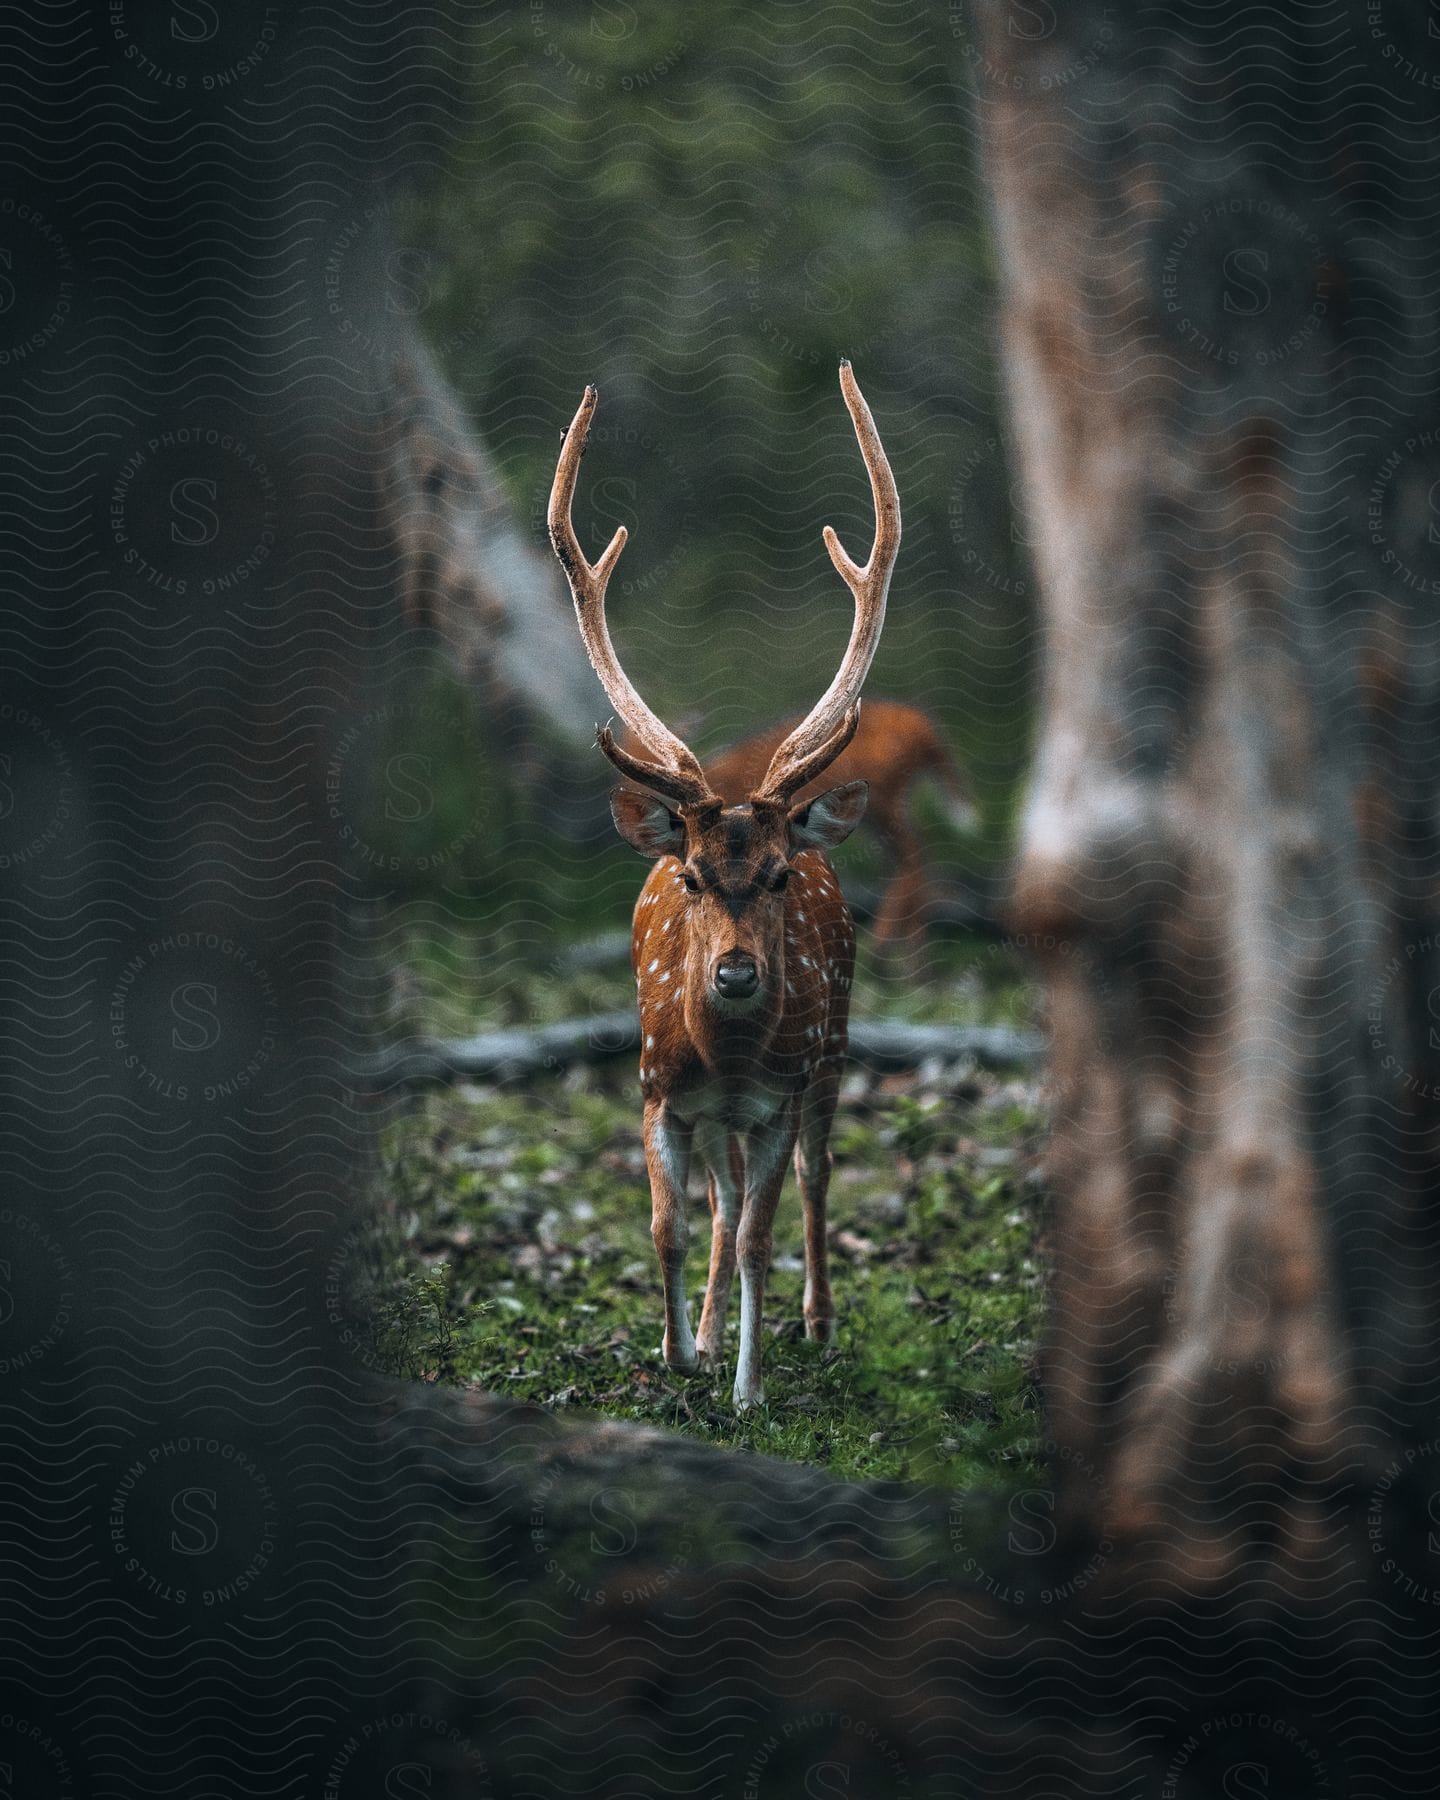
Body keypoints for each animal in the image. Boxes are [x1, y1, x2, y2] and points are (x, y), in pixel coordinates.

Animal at [550, 361, 900, 1404]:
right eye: (696, 879)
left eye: (778, 877)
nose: (737, 973)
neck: (729, 1056)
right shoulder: (657, 1091)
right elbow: (670, 1225)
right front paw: (677, 1356)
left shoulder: (777, 1095)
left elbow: (756, 1238)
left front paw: (748, 1390)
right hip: (720, 1117)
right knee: (723, 1194)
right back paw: (705, 1334)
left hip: (831, 1053)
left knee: (814, 1178)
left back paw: (818, 1322)